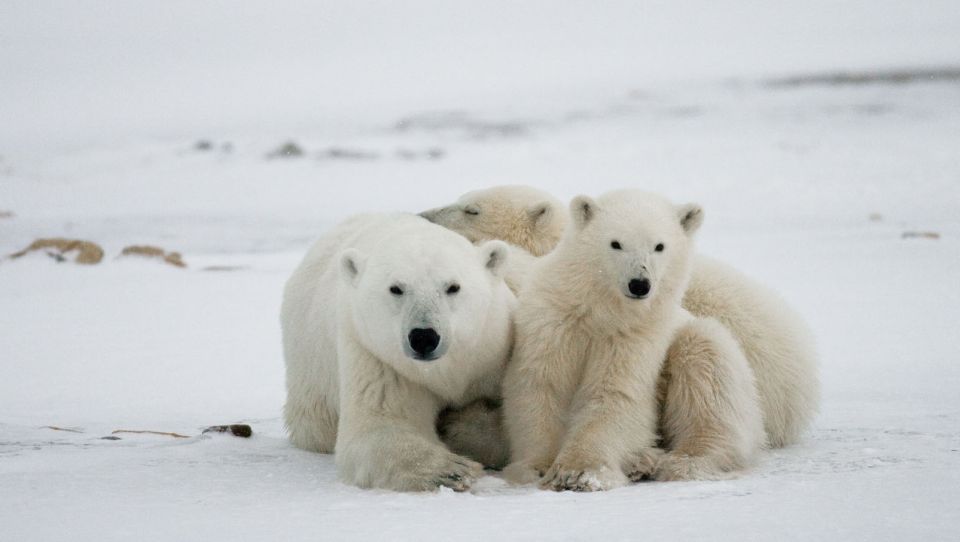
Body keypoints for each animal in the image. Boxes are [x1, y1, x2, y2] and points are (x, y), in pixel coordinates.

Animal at [282, 214, 512, 492]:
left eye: (453, 287)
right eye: (396, 288)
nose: (424, 337)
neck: (446, 370)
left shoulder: (492, 351)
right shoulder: (379, 358)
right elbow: (381, 425)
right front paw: (452, 470)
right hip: (310, 362)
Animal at [502, 192, 764, 492]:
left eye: (659, 246)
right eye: (616, 243)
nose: (639, 284)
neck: (601, 311)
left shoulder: (637, 336)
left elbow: (616, 393)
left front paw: (579, 472)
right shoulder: (553, 321)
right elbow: (541, 383)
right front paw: (536, 467)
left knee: (706, 371)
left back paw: (678, 461)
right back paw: (643, 460)